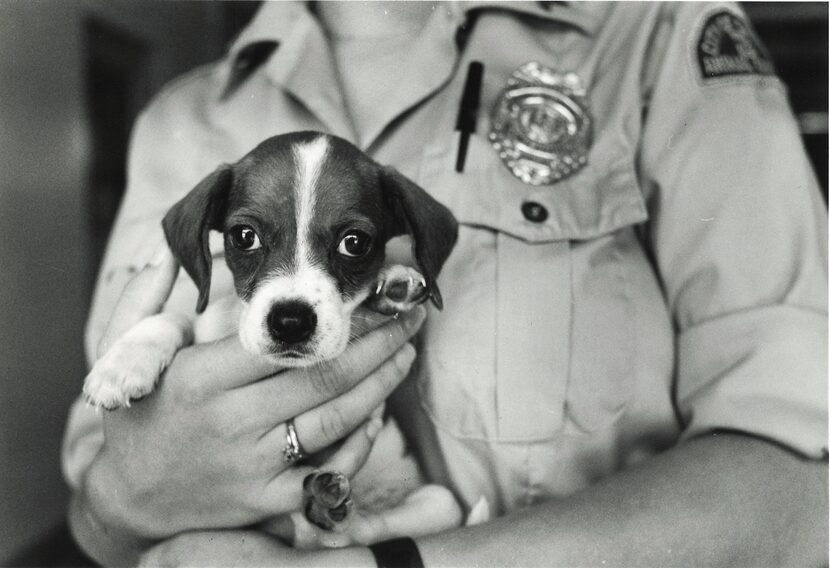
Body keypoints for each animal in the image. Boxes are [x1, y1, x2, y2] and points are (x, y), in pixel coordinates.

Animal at [84, 131, 462, 548]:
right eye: (244, 236)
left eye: (355, 242)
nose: (291, 322)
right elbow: (176, 318)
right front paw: (123, 363)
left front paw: (388, 284)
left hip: (436, 501)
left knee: (353, 532)